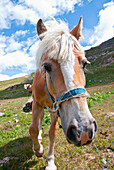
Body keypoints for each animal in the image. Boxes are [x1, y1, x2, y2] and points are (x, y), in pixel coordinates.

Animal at [28, 17, 97, 170]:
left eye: (84, 63)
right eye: (46, 66)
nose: (83, 131)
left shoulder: (55, 109)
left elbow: (52, 132)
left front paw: (50, 161)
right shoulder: (36, 102)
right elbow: (33, 128)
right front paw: (38, 150)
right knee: (39, 120)